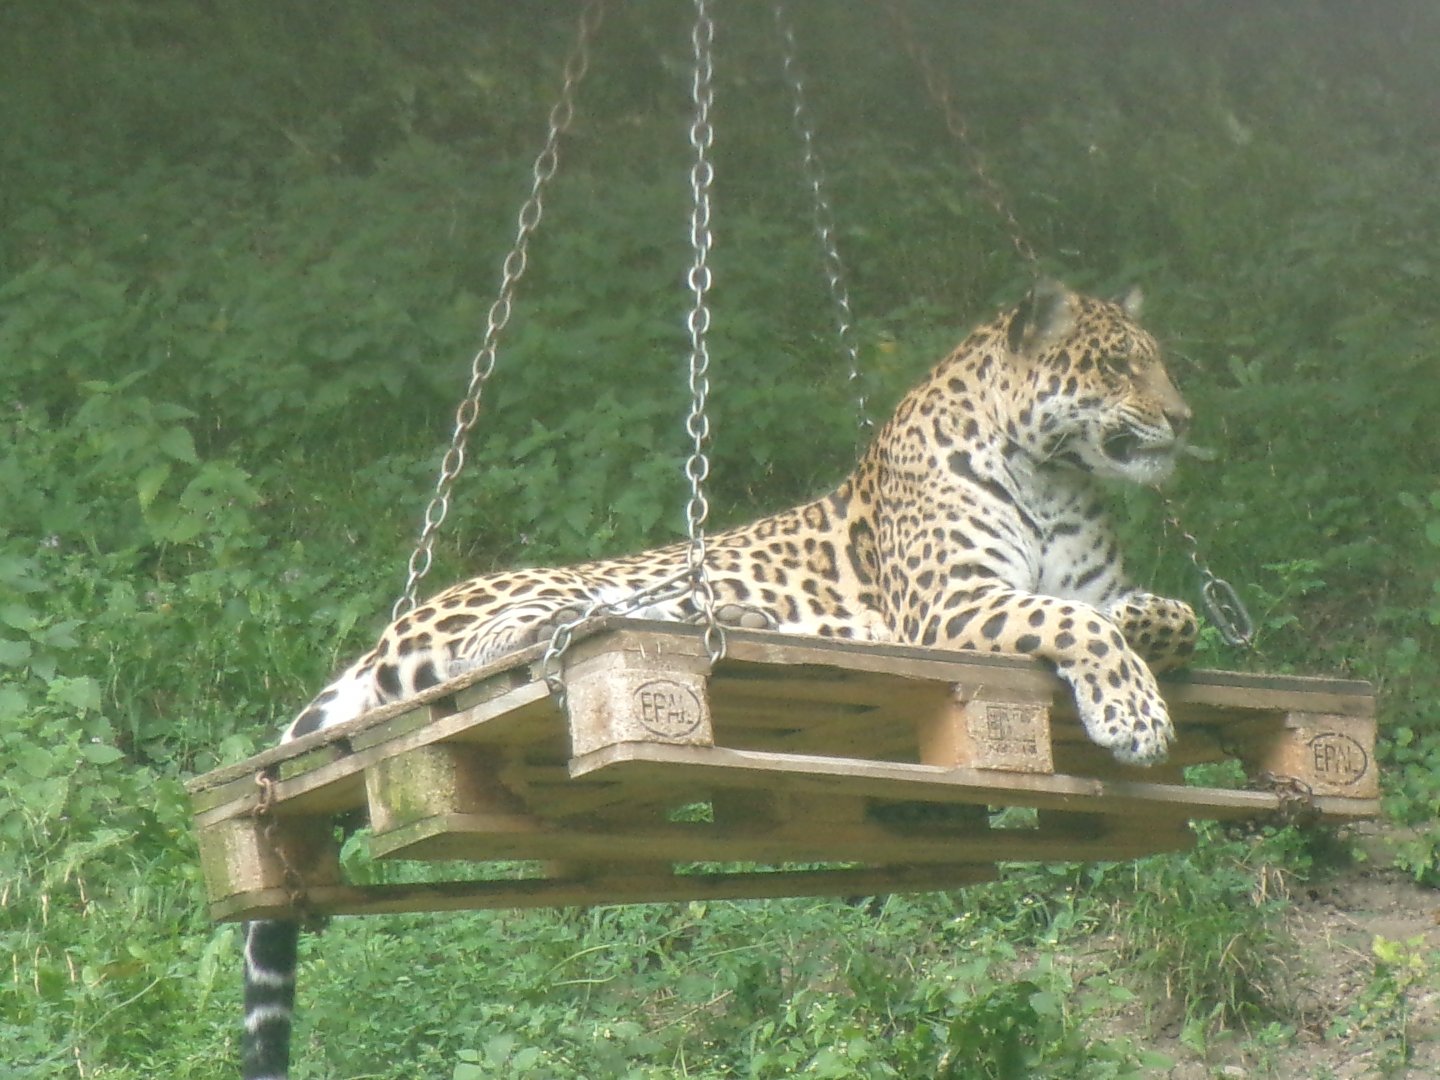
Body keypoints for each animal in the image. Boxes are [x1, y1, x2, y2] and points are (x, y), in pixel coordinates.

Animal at [240, 279, 1198, 1080]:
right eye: (1120, 363)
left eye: (1157, 358)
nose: (1183, 418)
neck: (1056, 476)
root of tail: (385, 633)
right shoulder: (949, 604)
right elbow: (1074, 623)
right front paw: (1136, 718)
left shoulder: (1080, 586)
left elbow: (1166, 613)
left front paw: (1146, 638)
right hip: (537, 593)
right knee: (494, 654)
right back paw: (610, 625)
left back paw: (739, 618)